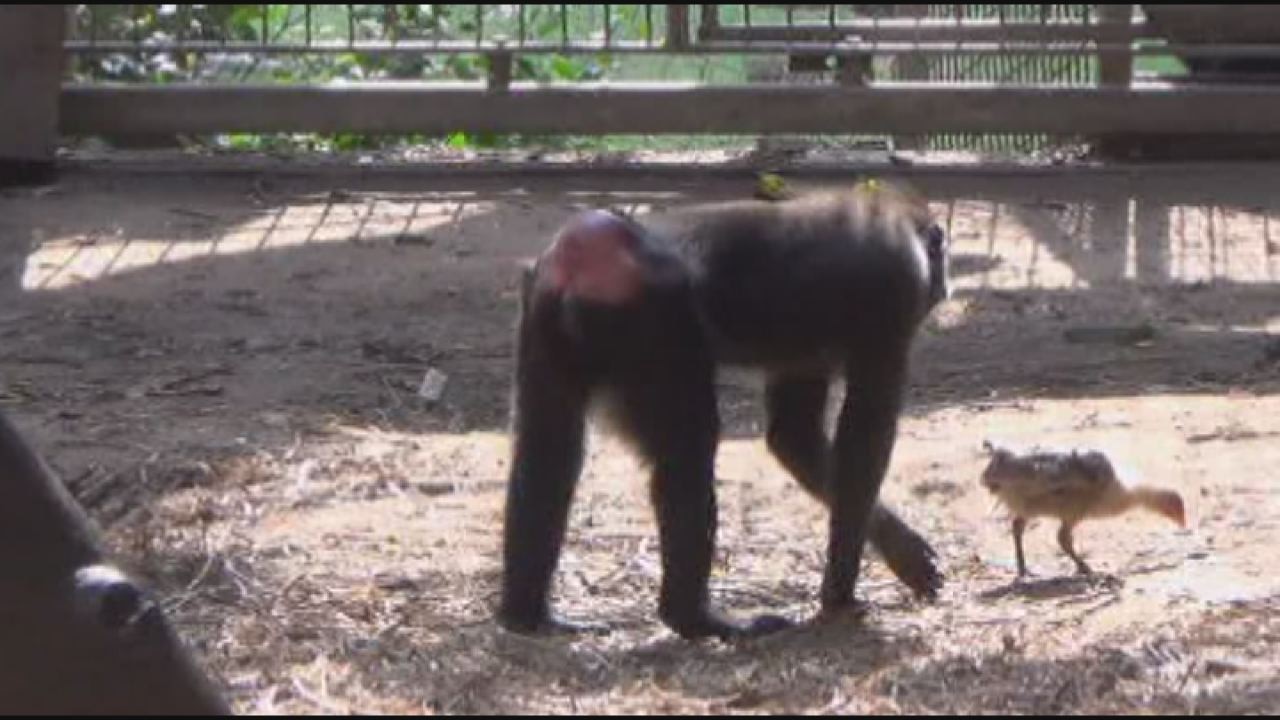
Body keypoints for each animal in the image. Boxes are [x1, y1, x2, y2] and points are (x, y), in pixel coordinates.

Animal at [499, 181, 950, 640]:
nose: (944, 285)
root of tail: (583, 253)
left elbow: (797, 436)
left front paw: (899, 549)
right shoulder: (896, 293)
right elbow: (863, 443)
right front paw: (840, 594)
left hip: (543, 313)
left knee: (548, 452)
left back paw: (527, 614)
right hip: (653, 323)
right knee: (689, 448)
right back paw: (695, 617)